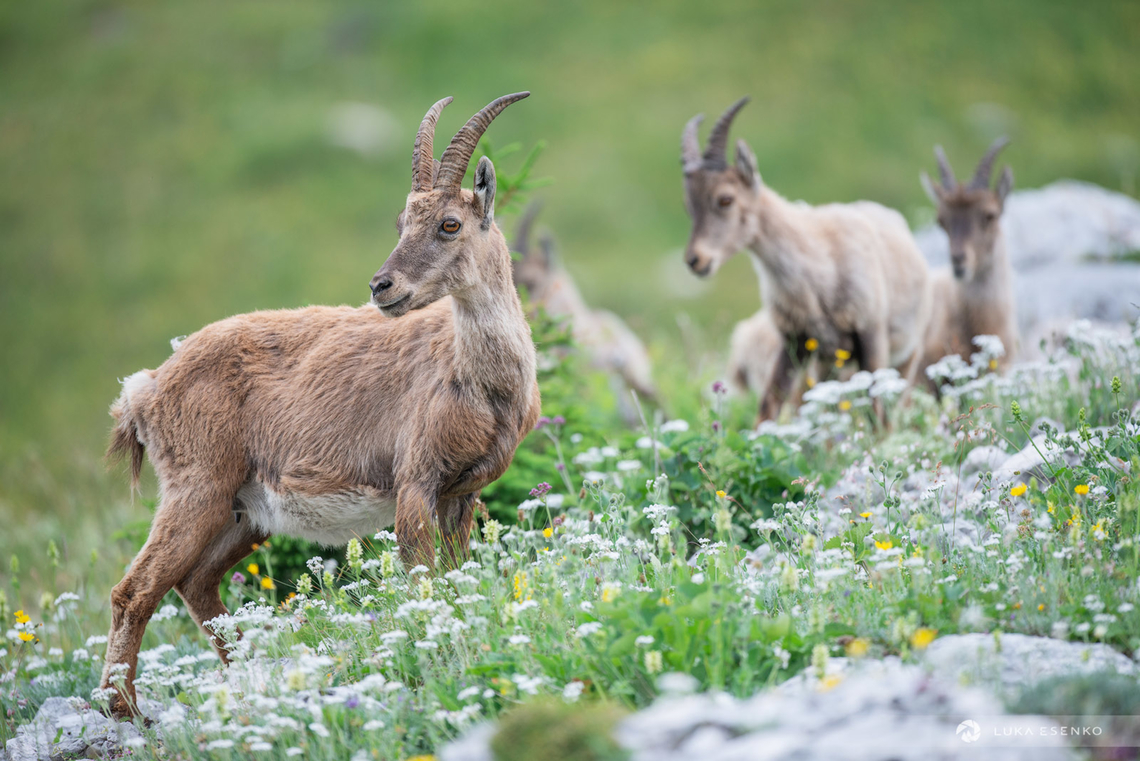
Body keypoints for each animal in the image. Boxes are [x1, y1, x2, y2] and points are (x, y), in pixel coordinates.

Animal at [99, 93, 541, 717]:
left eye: (449, 223)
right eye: (402, 222)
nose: (382, 287)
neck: (480, 383)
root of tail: (145, 389)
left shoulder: (463, 491)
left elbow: (458, 575)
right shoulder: (415, 481)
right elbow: (425, 578)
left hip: (243, 511)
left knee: (195, 583)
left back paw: (248, 675)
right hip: (196, 487)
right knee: (134, 590)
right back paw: (125, 711)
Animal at [681, 98, 931, 422]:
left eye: (725, 199)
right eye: (689, 205)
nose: (695, 260)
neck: (819, 271)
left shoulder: (871, 333)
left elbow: (876, 410)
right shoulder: (795, 341)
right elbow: (769, 403)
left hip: (907, 351)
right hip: (828, 363)